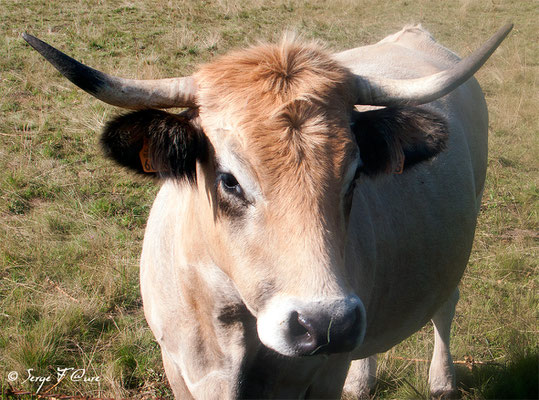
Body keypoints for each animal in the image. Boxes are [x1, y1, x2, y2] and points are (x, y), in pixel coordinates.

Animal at [25, 23, 512, 398]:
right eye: (229, 180)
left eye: (355, 175)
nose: (326, 325)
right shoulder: (178, 368)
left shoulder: (318, 377)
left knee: (446, 306)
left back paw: (442, 381)